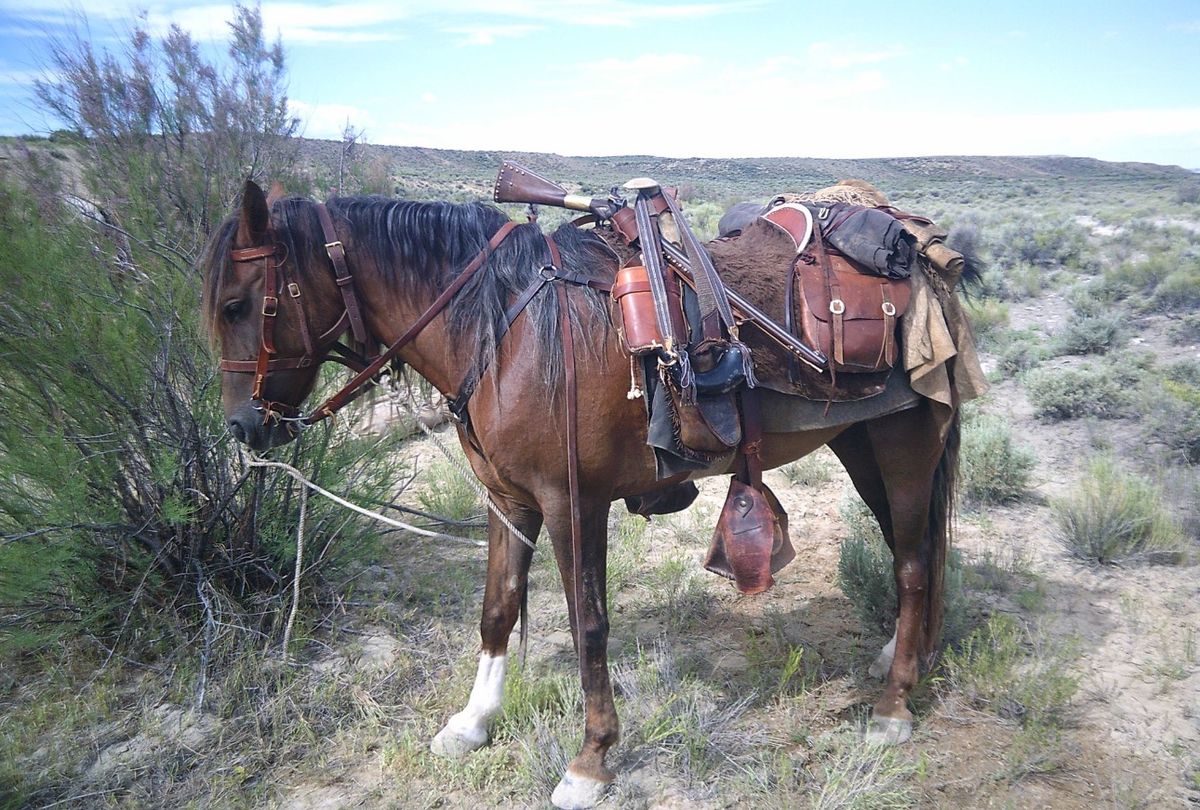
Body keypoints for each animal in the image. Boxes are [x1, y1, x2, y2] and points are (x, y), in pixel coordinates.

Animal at [201, 182, 960, 810]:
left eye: (239, 304)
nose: (241, 426)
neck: (507, 333)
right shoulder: (507, 502)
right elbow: (498, 608)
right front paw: (473, 721)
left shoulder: (573, 504)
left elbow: (587, 622)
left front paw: (591, 760)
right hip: (860, 446)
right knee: (916, 550)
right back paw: (904, 659)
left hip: (903, 445)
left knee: (913, 564)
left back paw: (894, 706)